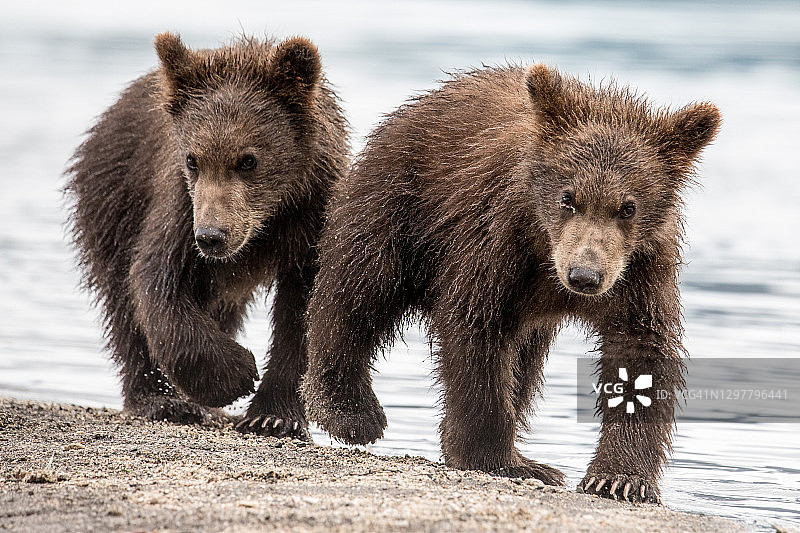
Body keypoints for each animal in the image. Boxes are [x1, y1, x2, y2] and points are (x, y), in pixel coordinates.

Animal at [66, 32, 349, 439]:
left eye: (248, 160)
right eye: (192, 159)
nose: (212, 236)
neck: (271, 217)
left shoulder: (311, 214)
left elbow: (303, 311)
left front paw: (274, 416)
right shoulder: (181, 205)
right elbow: (157, 282)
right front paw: (237, 372)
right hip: (114, 199)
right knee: (121, 302)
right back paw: (162, 400)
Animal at [300, 64, 720, 502]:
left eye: (628, 207)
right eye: (567, 197)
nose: (584, 276)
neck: (546, 258)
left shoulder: (639, 271)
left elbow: (639, 351)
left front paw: (618, 478)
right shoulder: (497, 242)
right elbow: (477, 333)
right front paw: (502, 460)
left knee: (525, 361)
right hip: (401, 202)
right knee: (360, 288)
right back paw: (349, 411)